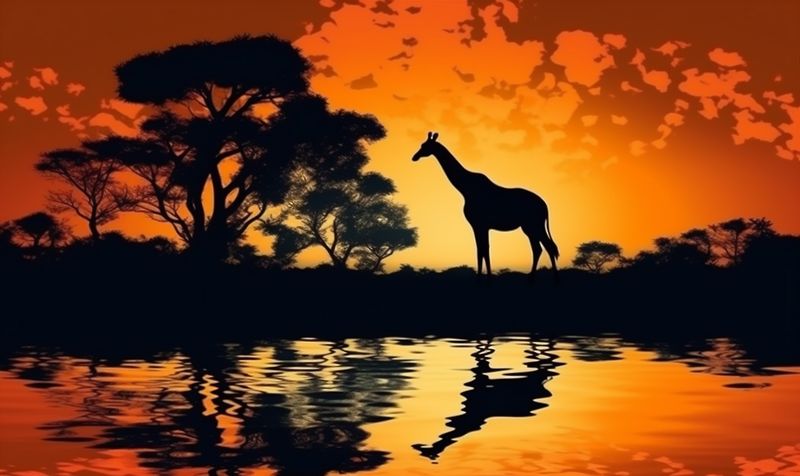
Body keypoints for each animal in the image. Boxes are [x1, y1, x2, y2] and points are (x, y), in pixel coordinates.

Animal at [411, 132, 559, 281]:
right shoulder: (480, 225)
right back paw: (533, 278)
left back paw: (554, 279)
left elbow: (482, 249)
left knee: (547, 247)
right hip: (529, 227)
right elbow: (482, 249)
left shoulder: (479, 224)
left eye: (424, 146)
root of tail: (545, 206)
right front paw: (485, 277)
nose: (414, 157)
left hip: (534, 225)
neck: (466, 189)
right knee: (539, 248)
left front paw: (484, 278)